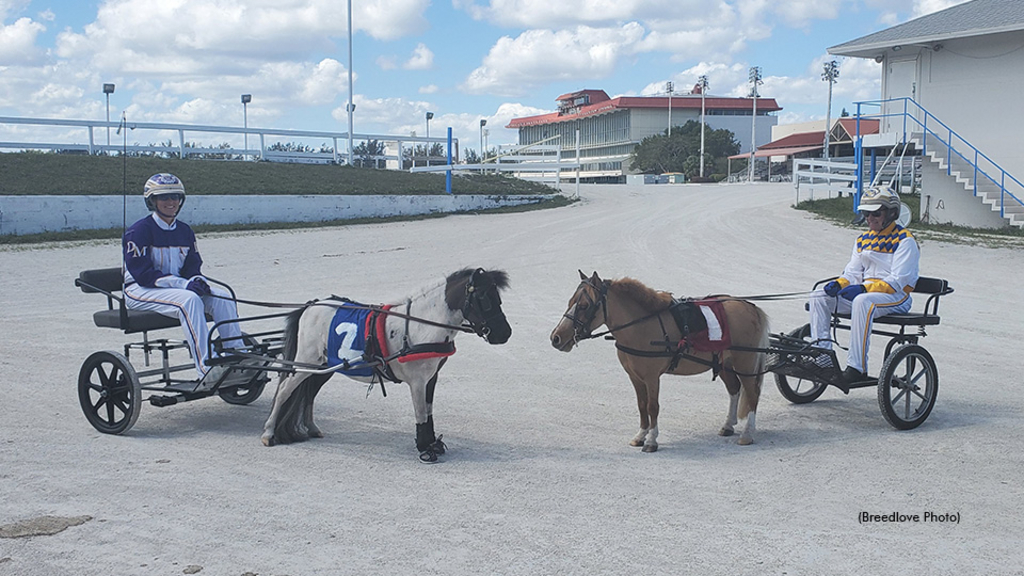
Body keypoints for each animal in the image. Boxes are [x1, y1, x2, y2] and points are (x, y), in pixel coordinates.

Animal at [260, 266, 507, 459]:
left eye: (498, 297)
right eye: (484, 298)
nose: (505, 333)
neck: (420, 325)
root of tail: (312, 305)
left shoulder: (431, 378)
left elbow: (428, 411)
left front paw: (432, 442)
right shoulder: (417, 381)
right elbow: (420, 412)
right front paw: (424, 447)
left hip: (323, 366)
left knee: (309, 392)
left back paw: (311, 428)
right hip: (305, 361)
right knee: (284, 391)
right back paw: (269, 432)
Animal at [552, 270, 770, 450]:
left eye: (584, 305)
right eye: (570, 302)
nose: (556, 338)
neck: (642, 325)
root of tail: (750, 306)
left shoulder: (651, 377)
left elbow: (652, 406)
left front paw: (651, 440)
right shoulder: (635, 377)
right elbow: (642, 405)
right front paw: (640, 435)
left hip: (745, 363)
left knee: (752, 394)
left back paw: (747, 433)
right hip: (725, 363)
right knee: (734, 390)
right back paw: (728, 425)